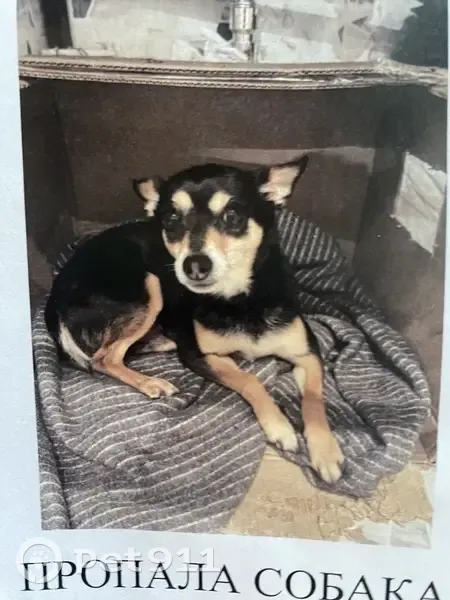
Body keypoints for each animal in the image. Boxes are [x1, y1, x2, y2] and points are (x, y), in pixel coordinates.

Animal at [45, 156, 344, 483]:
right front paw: (279, 427)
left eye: (232, 215)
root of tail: (55, 294)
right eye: (172, 220)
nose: (194, 265)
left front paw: (326, 452)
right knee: (105, 358)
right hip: (150, 287)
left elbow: (314, 400)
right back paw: (152, 383)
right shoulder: (200, 355)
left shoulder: (308, 354)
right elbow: (249, 380)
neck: (238, 298)